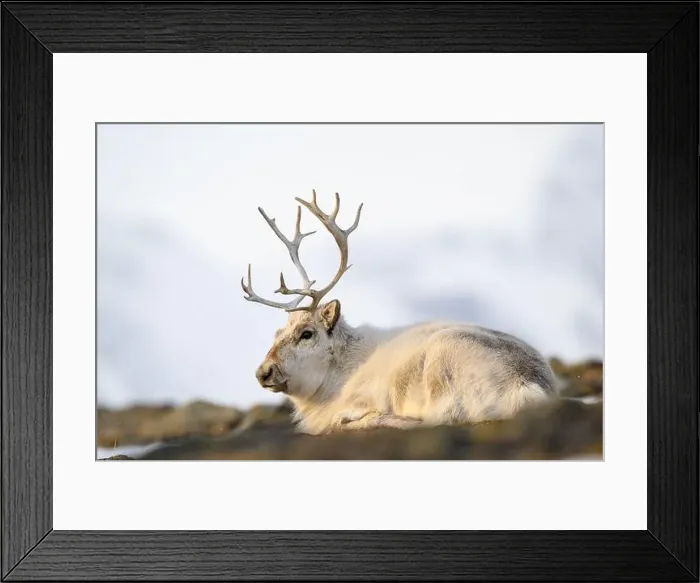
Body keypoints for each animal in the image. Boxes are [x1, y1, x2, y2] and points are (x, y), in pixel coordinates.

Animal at [241, 190, 558, 435]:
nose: (263, 372)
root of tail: (529, 387)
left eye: (306, 333)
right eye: (277, 333)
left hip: (442, 361)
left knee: (434, 419)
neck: (336, 375)